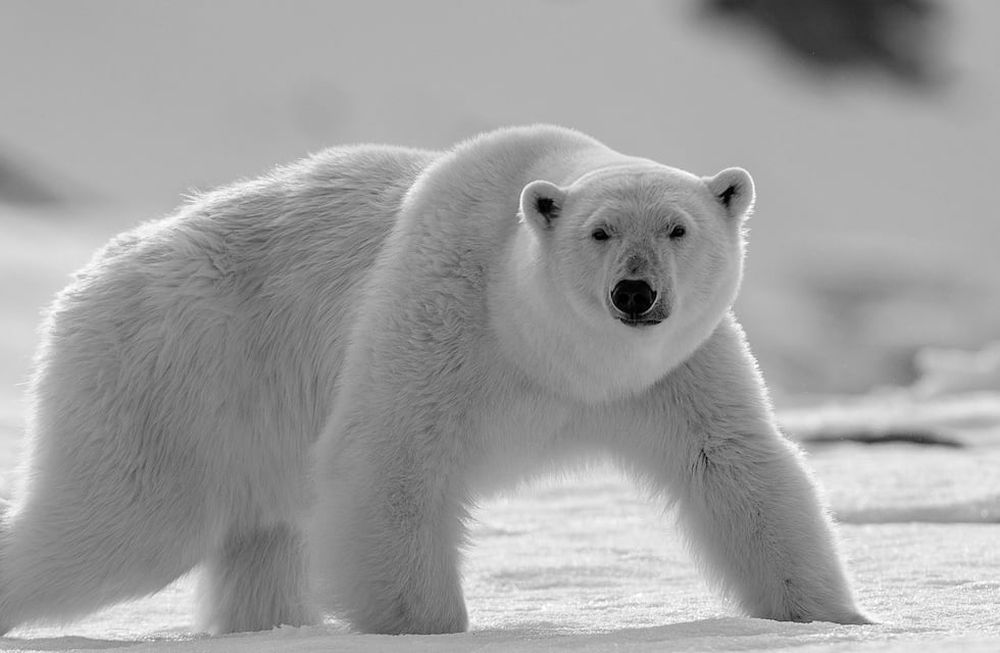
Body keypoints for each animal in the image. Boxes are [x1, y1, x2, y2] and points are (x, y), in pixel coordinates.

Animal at [0, 125, 869, 636]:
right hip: (175, 376)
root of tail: (93, 275)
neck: (551, 353)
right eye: (600, 231)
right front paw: (430, 626)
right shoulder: (441, 313)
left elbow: (734, 465)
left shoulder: (670, 373)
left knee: (259, 540)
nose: (635, 292)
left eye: (678, 228)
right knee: (122, 525)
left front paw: (834, 615)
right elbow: (391, 460)